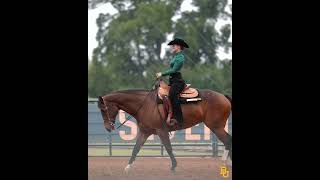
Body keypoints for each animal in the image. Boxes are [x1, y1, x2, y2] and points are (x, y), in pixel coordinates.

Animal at [97, 79, 232, 172]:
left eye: (104, 109)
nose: (108, 127)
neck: (144, 104)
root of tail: (223, 97)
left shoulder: (161, 131)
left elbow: (168, 147)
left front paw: (173, 166)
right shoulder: (145, 132)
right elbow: (136, 148)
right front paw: (128, 167)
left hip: (216, 127)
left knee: (227, 140)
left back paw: (225, 162)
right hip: (217, 127)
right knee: (228, 140)